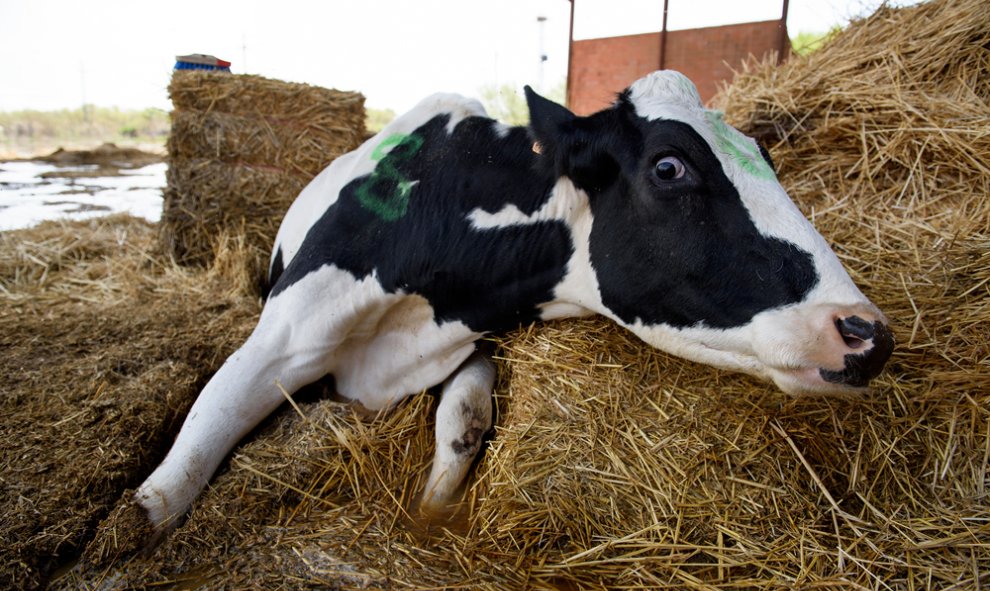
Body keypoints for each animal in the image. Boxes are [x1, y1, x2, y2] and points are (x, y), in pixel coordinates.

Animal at [128, 70, 896, 536]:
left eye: (767, 159)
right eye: (669, 166)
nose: (867, 333)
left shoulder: (471, 338)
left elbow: (463, 424)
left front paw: (430, 513)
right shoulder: (282, 337)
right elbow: (181, 467)